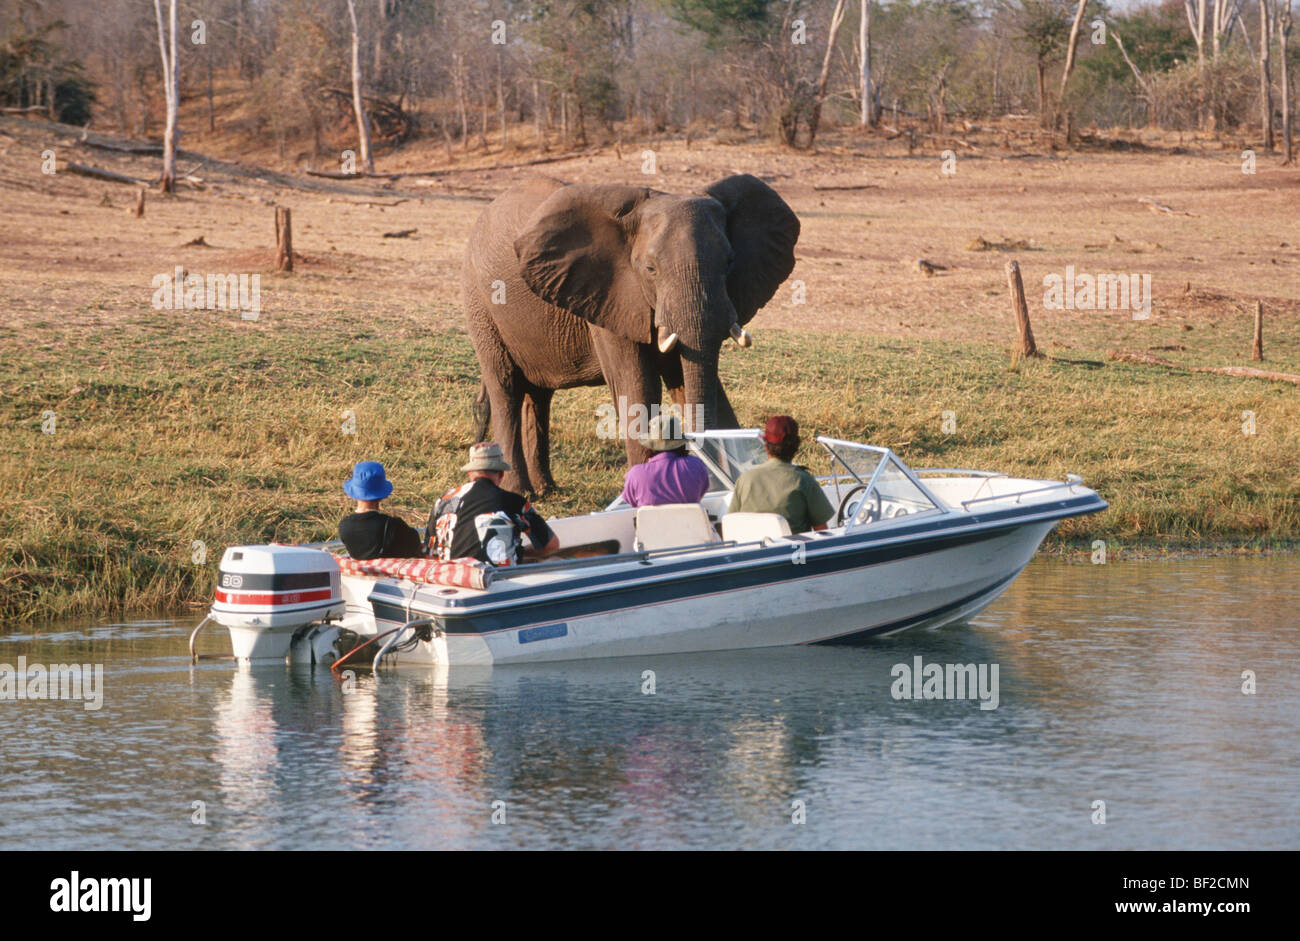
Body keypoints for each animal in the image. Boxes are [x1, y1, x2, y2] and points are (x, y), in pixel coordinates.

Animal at [462, 174, 795, 496]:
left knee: (538, 395)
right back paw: (522, 493)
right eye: (650, 269)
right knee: (505, 387)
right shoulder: (609, 296)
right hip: (481, 304)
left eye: (729, 262)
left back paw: (547, 490)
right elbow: (638, 387)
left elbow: (689, 379)